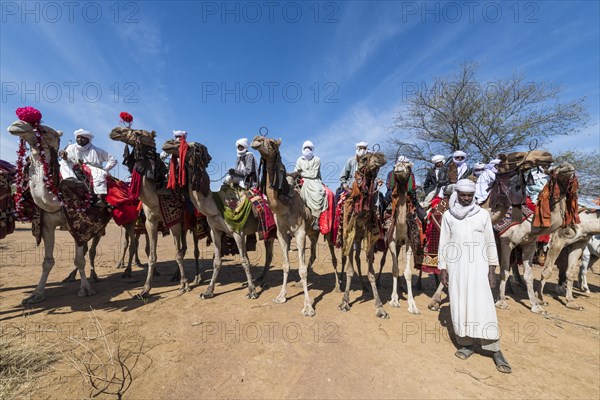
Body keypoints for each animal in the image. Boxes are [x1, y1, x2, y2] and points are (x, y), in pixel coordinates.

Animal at [159, 139, 272, 298]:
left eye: (193, 148)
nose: (168, 143)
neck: (215, 207)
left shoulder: (238, 232)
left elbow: (244, 260)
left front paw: (252, 291)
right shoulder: (215, 232)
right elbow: (217, 262)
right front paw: (208, 291)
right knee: (270, 253)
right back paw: (261, 278)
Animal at [250, 136, 340, 318]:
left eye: (271, 142)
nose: (256, 140)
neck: (285, 203)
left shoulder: (299, 232)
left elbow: (302, 269)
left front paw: (308, 307)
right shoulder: (281, 233)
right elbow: (286, 265)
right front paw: (280, 296)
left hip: (328, 231)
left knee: (333, 257)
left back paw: (337, 287)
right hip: (313, 233)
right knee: (313, 254)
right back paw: (299, 284)